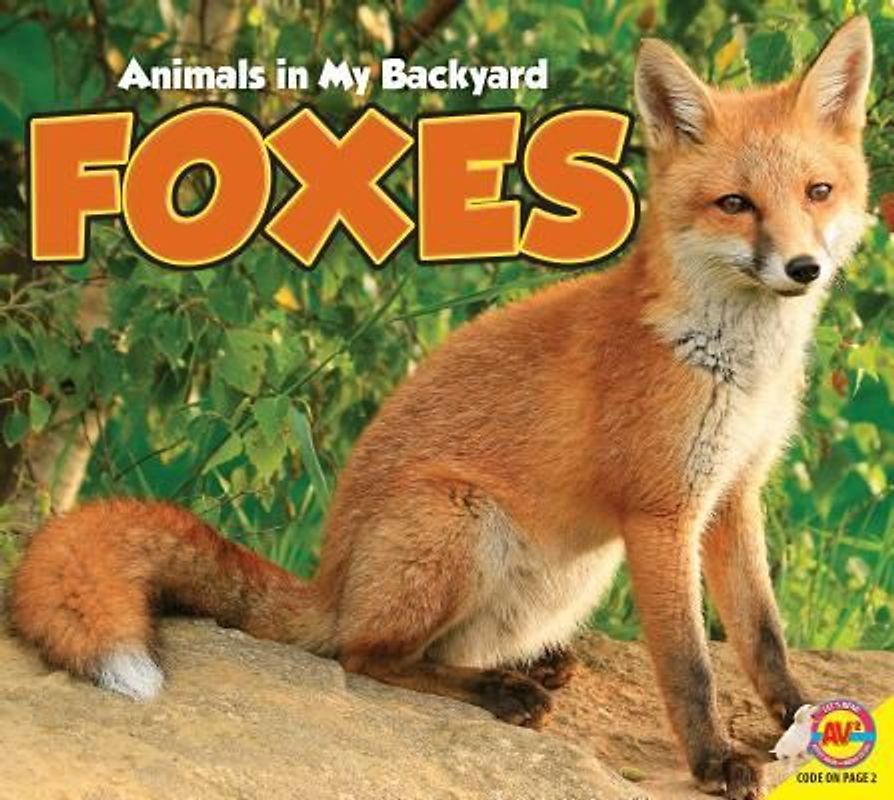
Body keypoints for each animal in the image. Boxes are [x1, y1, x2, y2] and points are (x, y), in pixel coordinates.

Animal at [7, 16, 873, 800]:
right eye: (735, 203)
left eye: (817, 193)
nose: (802, 267)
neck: (733, 364)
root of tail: (327, 581)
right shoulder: (662, 512)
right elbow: (690, 664)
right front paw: (715, 761)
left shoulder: (734, 493)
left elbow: (763, 636)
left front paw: (805, 718)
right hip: (462, 522)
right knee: (366, 655)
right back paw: (498, 690)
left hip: (570, 573)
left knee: (436, 649)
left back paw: (529, 665)